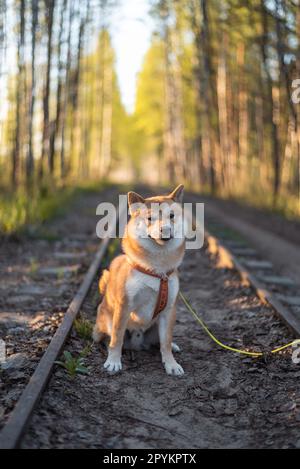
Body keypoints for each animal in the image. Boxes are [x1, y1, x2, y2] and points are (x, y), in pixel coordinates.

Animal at [92, 185, 185, 374]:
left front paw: (171, 364)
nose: (165, 229)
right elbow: (117, 338)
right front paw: (113, 361)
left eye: (172, 216)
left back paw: (173, 346)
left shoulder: (169, 310)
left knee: (162, 342)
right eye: (149, 218)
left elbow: (165, 343)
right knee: (108, 338)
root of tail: (137, 343)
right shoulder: (124, 306)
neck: (157, 270)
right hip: (107, 319)